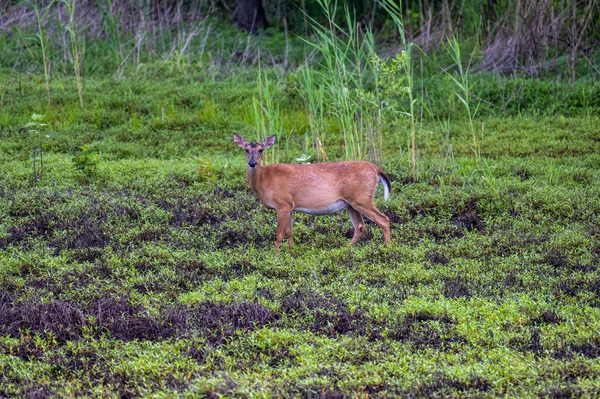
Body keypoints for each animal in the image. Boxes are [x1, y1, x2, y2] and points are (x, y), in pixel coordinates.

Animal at [232, 134, 392, 253]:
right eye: (246, 150)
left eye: (261, 150)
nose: (252, 163)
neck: (264, 181)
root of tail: (375, 169)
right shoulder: (290, 206)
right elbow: (290, 231)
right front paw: (292, 251)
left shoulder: (282, 204)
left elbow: (279, 234)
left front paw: (276, 255)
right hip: (351, 203)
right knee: (360, 227)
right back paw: (345, 249)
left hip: (362, 198)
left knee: (383, 219)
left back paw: (387, 248)